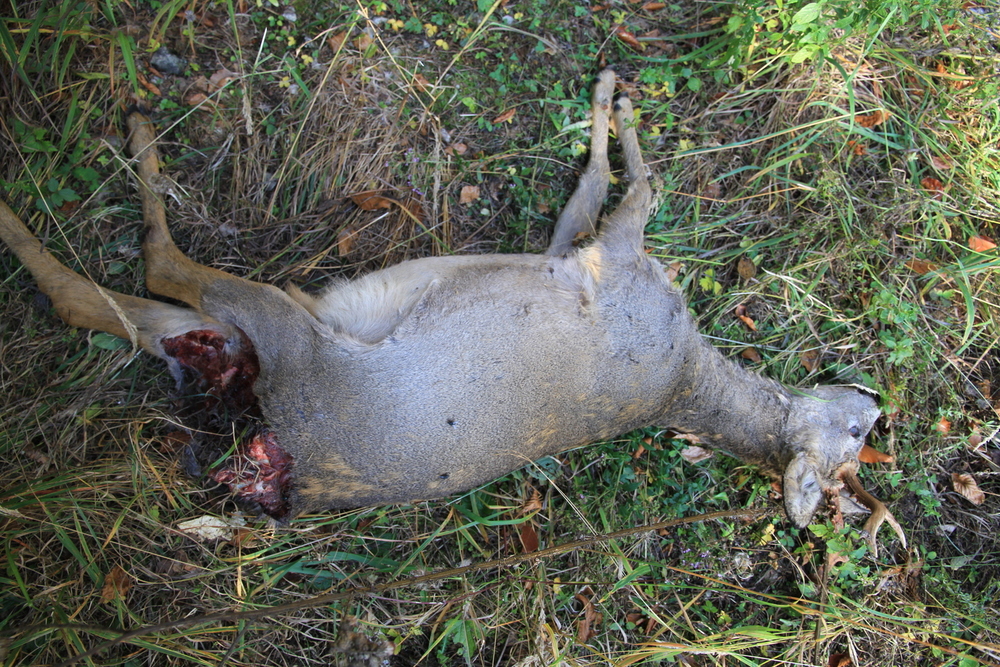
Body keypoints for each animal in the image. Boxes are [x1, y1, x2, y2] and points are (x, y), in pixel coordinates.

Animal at [0, 70, 904, 552]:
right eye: (860, 433)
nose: (877, 397)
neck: (685, 369)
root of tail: (286, 472)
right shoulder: (586, 250)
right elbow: (602, 181)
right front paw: (614, 91)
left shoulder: (614, 262)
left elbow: (636, 180)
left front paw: (616, 99)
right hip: (239, 334)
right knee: (104, 296)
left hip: (282, 335)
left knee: (138, 274)